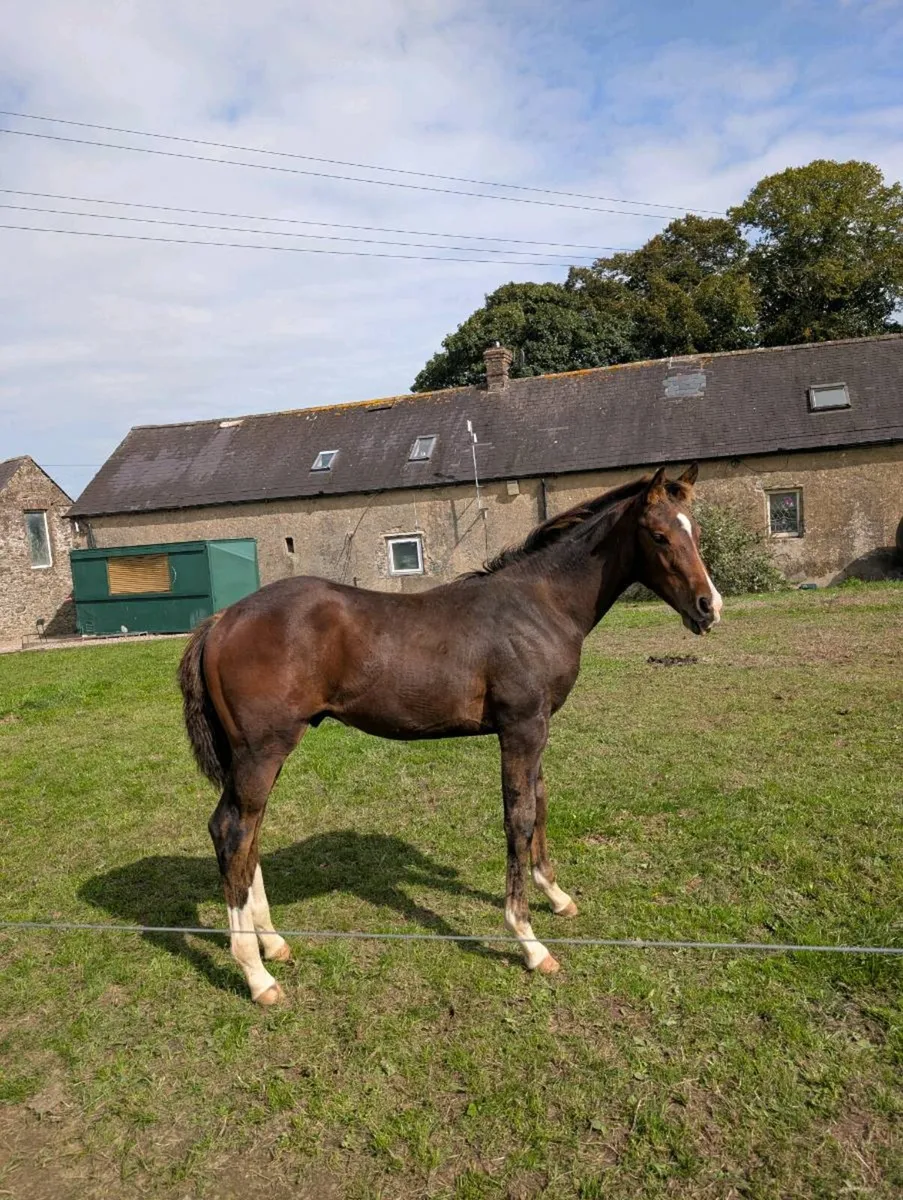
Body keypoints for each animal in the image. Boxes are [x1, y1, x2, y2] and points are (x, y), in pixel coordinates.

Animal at [178, 465, 722, 1004]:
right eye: (658, 535)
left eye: (693, 530)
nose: (709, 606)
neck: (538, 606)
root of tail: (222, 619)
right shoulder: (521, 729)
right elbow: (519, 819)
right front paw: (529, 941)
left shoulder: (538, 727)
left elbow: (541, 803)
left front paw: (558, 897)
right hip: (262, 751)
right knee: (232, 831)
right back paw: (256, 974)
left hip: (257, 756)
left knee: (249, 832)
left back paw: (272, 943)